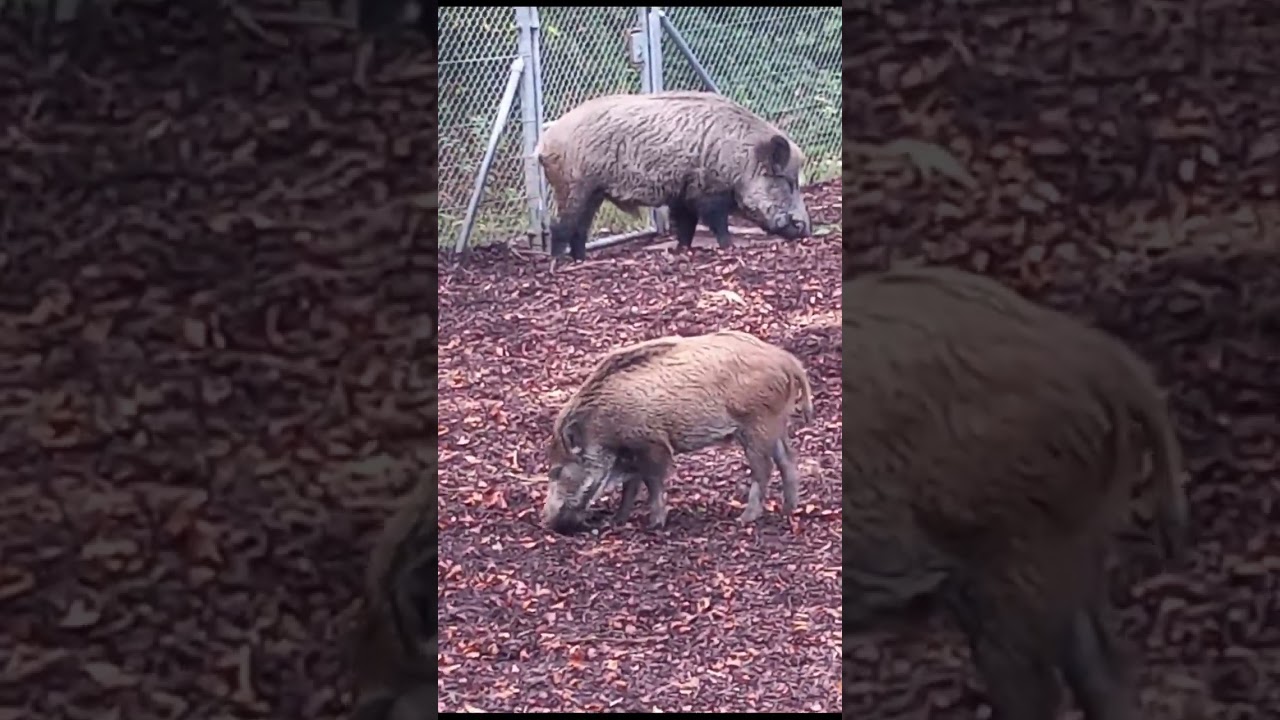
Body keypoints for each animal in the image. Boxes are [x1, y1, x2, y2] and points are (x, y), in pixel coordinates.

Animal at [536, 91, 811, 261]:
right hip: (574, 186)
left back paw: (581, 261)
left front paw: (683, 250)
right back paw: (560, 264)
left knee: (580, 229)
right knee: (560, 227)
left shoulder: (683, 195)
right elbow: (716, 223)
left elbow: (686, 226)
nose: (807, 229)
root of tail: (543, 143)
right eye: (787, 181)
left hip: (593, 192)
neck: (741, 159)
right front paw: (729, 247)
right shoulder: (708, 191)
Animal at [542, 330, 815, 534]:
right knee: (787, 460)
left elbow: (652, 482)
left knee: (764, 469)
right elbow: (630, 487)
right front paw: (616, 521)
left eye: (557, 471)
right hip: (775, 424)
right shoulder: (630, 453)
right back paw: (788, 509)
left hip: (756, 426)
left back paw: (745, 519)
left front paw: (654, 524)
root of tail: (787, 361)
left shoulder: (652, 444)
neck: (602, 426)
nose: (548, 523)